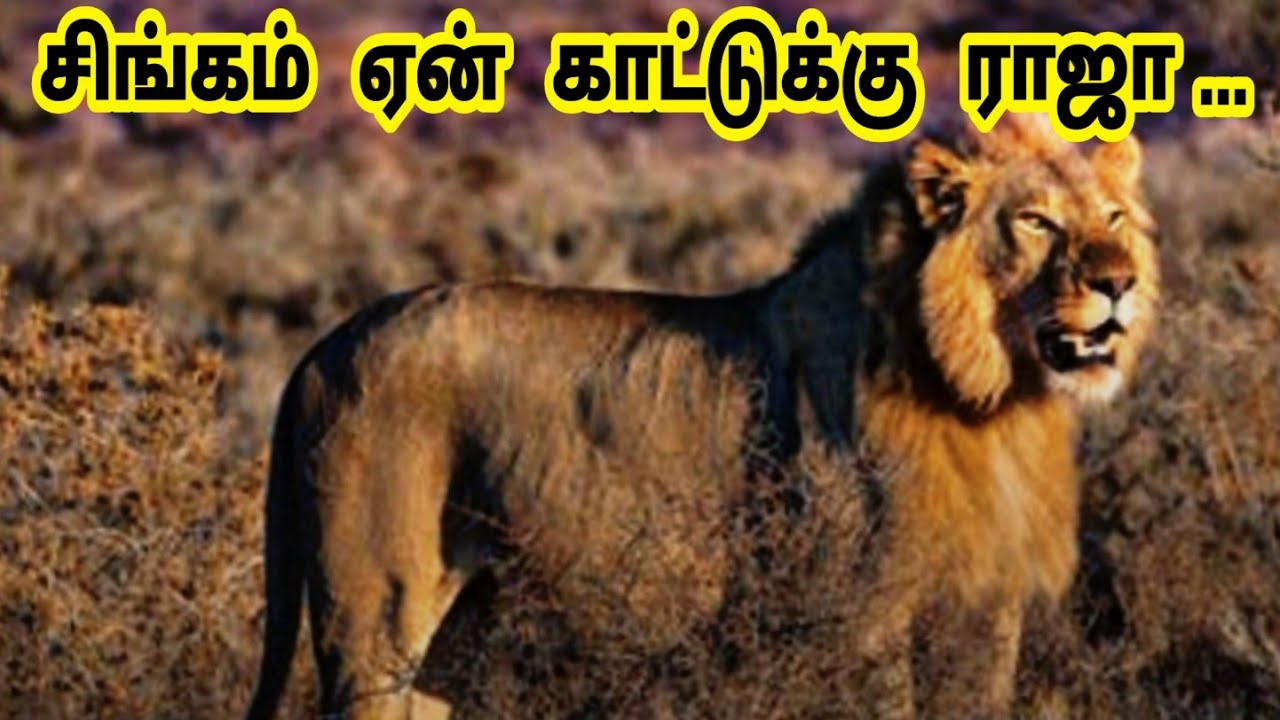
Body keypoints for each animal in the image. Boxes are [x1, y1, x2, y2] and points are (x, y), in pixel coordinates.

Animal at [243, 114, 1159, 720]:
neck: (989, 402)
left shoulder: (987, 611)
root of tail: (321, 347)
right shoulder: (866, 614)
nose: (1118, 281)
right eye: (1036, 221)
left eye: (1113, 217)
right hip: (375, 618)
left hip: (456, 628)